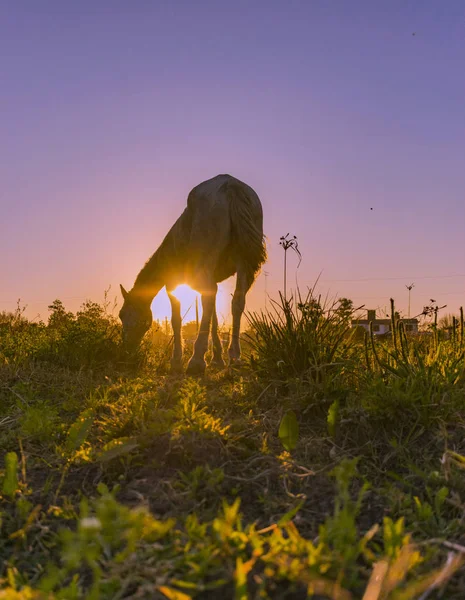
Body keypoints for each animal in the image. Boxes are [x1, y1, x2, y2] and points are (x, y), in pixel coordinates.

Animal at [118, 171, 266, 372]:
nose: (126, 350)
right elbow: (213, 318)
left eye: (123, 315)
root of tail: (230, 186)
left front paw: (176, 359)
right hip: (243, 261)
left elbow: (176, 319)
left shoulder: (172, 284)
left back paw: (196, 361)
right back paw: (234, 356)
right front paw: (217, 358)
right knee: (237, 300)